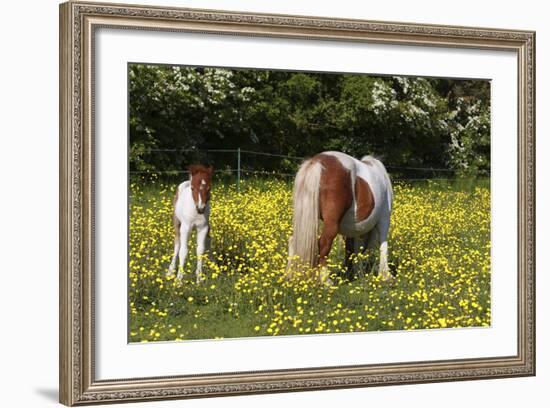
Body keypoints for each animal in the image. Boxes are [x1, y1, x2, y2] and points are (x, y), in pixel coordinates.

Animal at [286, 152, 394, 284]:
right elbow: (383, 245)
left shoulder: (355, 228)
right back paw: (325, 280)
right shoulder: (384, 219)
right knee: (324, 243)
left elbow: (352, 248)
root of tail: (317, 162)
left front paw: (352, 272)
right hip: (332, 224)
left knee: (293, 240)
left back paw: (289, 274)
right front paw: (386, 274)